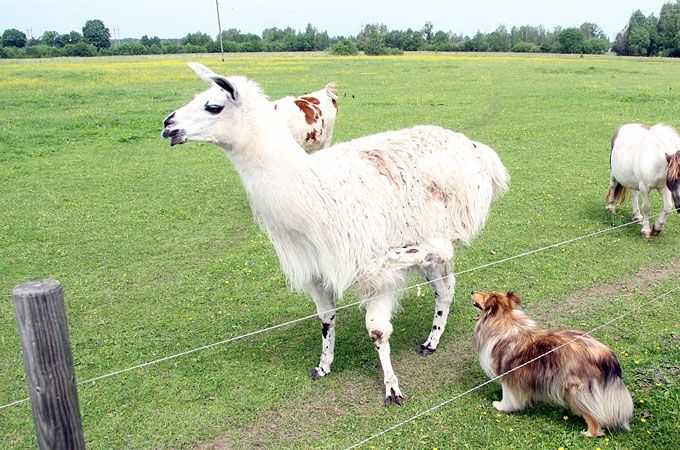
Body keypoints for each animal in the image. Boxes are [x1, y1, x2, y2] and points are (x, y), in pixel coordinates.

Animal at [470, 292, 636, 436]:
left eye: (484, 295)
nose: (472, 291)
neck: (504, 321)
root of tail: (604, 354)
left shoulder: (508, 375)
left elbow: (508, 396)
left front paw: (501, 406)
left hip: (577, 390)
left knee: (594, 417)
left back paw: (588, 433)